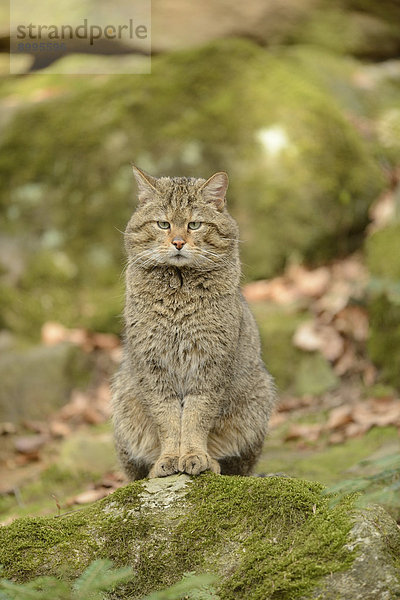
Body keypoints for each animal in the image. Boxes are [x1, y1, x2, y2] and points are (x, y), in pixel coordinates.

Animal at [111, 168, 276, 478]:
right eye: (163, 224)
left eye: (194, 224)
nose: (178, 242)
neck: (179, 293)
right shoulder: (154, 367)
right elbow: (167, 419)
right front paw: (168, 458)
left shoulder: (210, 365)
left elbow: (196, 417)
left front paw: (194, 455)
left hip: (257, 401)